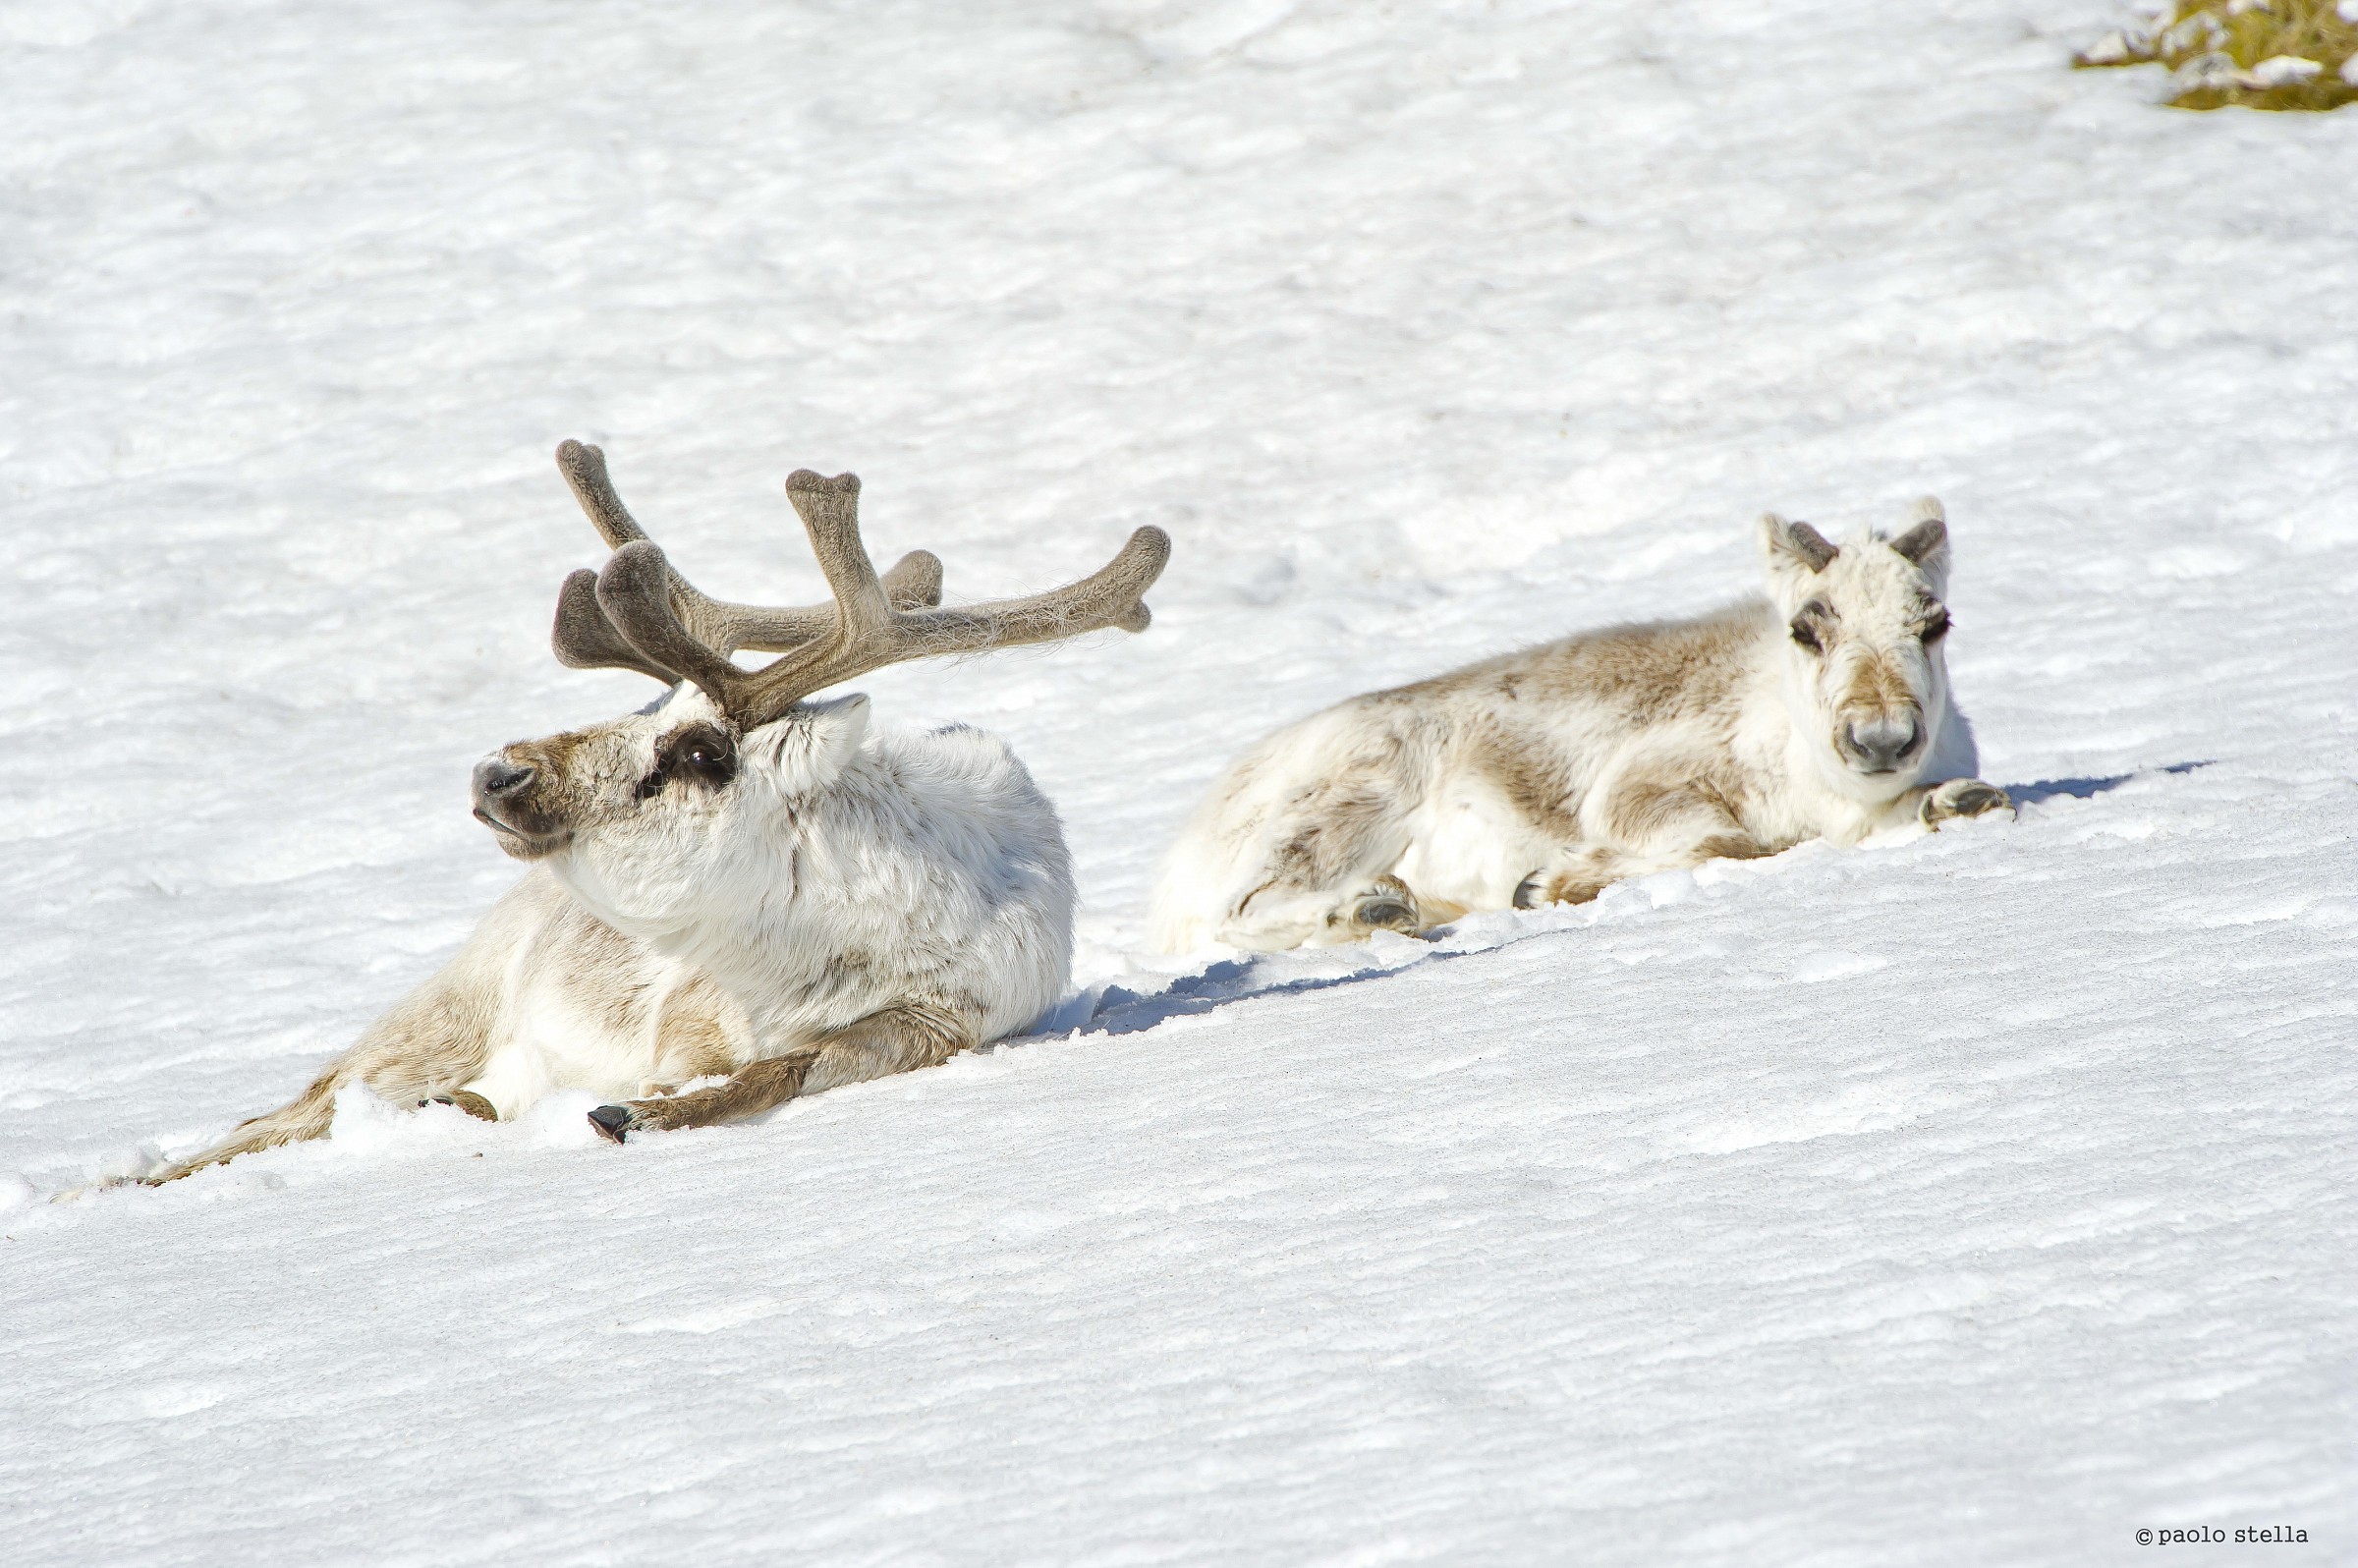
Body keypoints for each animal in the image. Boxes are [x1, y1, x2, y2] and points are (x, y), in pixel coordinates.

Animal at [129, 442, 1168, 1185]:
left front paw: (634, 1114)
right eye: (644, 707)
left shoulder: (942, 1020)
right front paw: (634, 1105)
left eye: (701, 753)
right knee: (280, 1114)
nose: (498, 772)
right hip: (439, 1013)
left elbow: (787, 1068)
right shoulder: (685, 1016)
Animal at [1151, 501, 2010, 952]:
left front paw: (1961, 801)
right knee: (1239, 914)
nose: (1881, 738)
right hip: (1349, 805)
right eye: (1807, 628)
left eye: (1935, 622)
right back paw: (1374, 907)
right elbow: (1727, 842)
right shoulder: (1639, 789)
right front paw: (1547, 883)